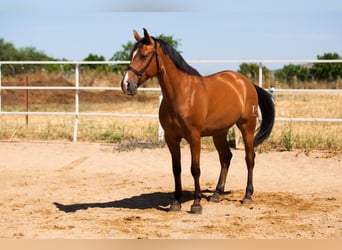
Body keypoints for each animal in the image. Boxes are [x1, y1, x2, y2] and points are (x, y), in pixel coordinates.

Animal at [121, 28, 276, 214]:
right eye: (131, 54)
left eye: (144, 55)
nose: (126, 84)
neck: (183, 94)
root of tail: (246, 83)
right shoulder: (171, 138)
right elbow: (176, 168)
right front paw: (176, 202)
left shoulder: (194, 137)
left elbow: (195, 169)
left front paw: (196, 204)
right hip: (219, 132)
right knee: (226, 157)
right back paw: (216, 194)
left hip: (247, 127)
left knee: (249, 158)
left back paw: (247, 196)